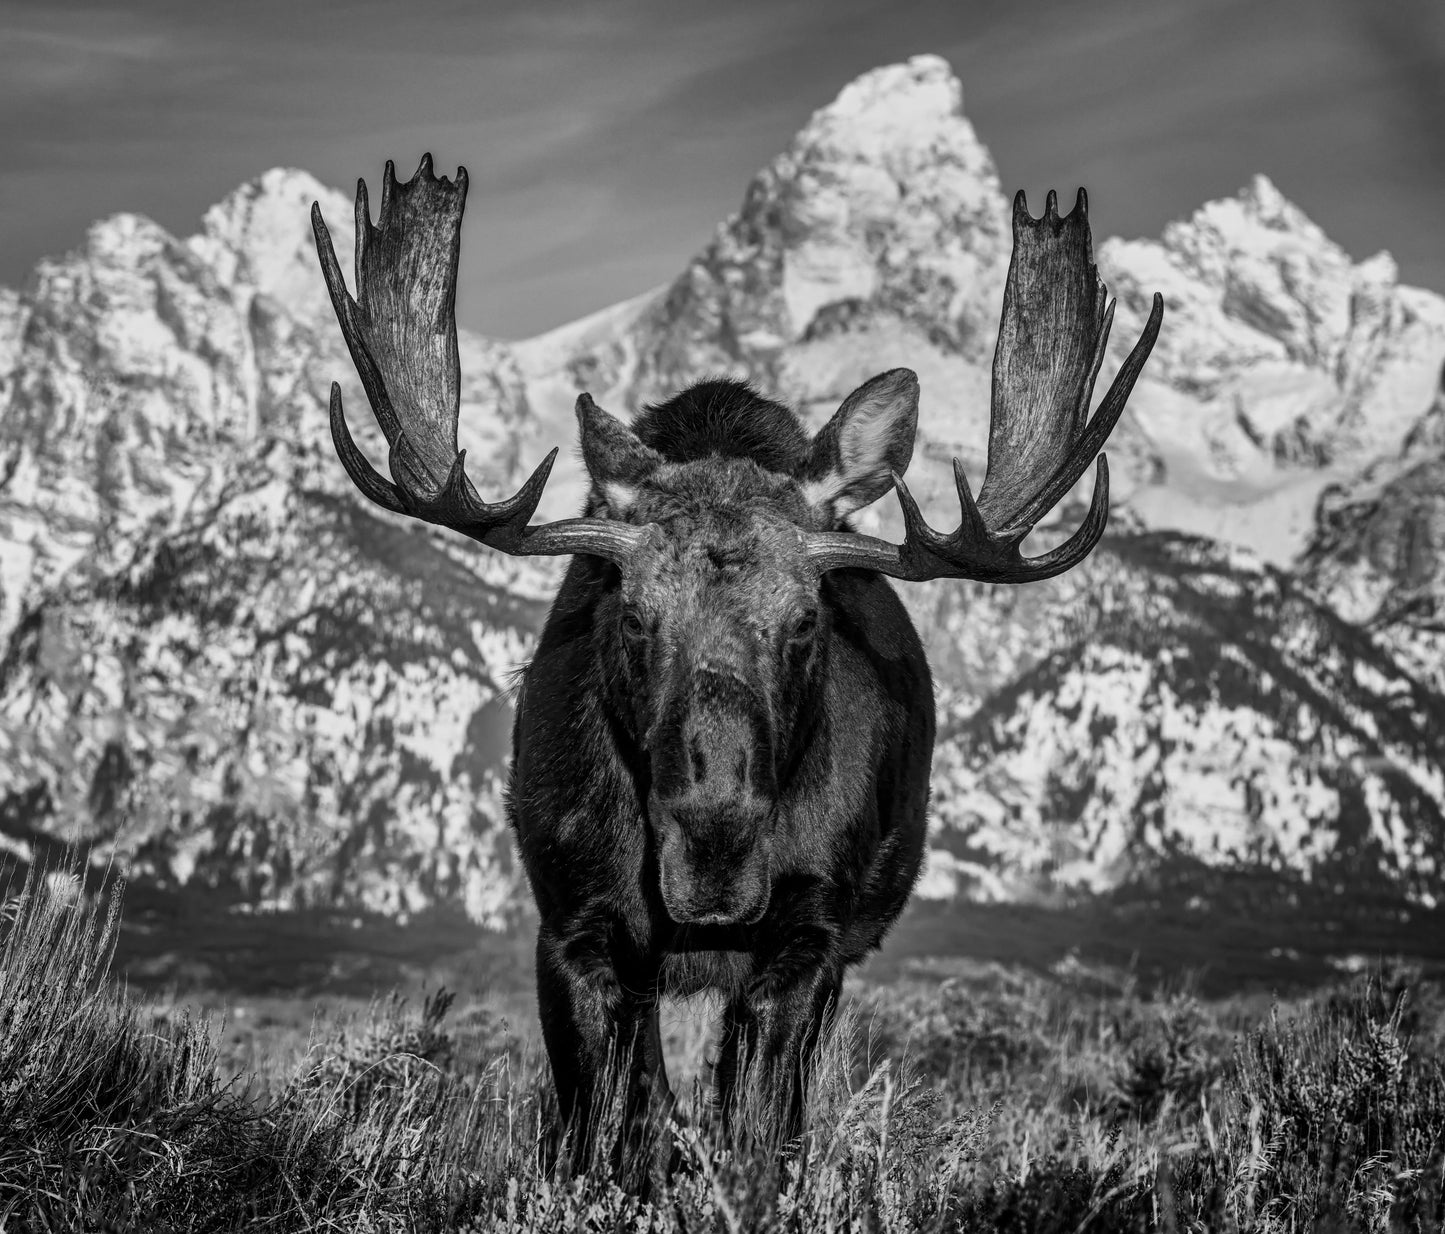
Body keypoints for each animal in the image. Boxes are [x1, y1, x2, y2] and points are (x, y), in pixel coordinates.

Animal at [313, 159, 1161, 1173]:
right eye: (634, 616)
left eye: (803, 623)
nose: (713, 848)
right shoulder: (574, 927)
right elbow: (601, 1130)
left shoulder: (808, 939)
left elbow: (760, 1130)